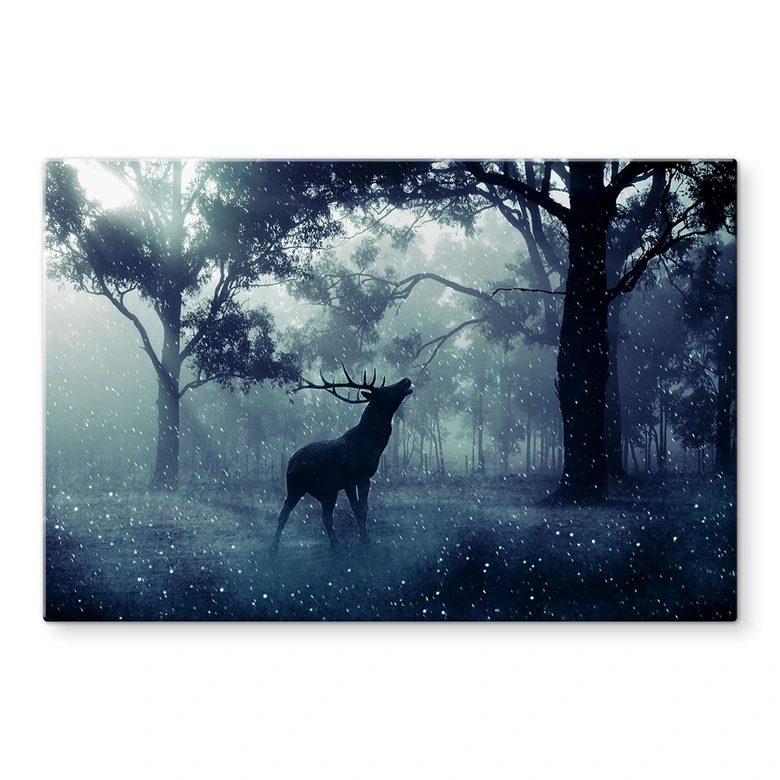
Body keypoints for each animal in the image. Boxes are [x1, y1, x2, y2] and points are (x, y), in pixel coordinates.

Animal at [269, 366, 413, 553]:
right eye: (384, 389)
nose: (406, 380)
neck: (373, 442)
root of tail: (295, 465)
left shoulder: (353, 480)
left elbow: (362, 508)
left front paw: (363, 538)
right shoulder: (356, 475)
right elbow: (360, 508)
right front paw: (365, 540)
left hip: (297, 488)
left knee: (287, 514)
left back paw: (275, 547)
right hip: (326, 487)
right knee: (324, 516)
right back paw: (336, 543)